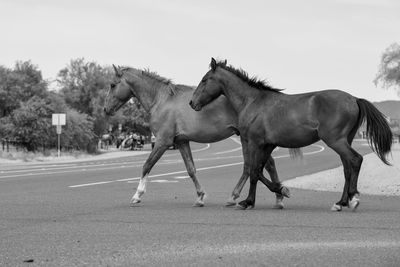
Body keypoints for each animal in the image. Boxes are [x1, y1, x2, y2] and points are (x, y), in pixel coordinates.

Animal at [103, 66, 290, 208]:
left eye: (112, 85)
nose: (106, 109)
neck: (161, 100)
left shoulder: (163, 142)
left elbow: (147, 165)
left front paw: (137, 195)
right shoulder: (182, 142)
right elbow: (191, 169)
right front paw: (200, 197)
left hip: (249, 140)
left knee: (255, 166)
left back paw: (240, 196)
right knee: (264, 165)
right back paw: (277, 197)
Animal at [189, 58, 392, 211]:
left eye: (205, 79)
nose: (192, 103)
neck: (253, 102)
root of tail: (354, 99)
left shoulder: (255, 143)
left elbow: (254, 171)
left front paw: (250, 201)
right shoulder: (267, 145)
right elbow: (258, 171)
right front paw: (277, 191)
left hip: (336, 141)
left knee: (355, 160)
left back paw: (353, 199)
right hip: (344, 141)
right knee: (347, 168)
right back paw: (341, 202)